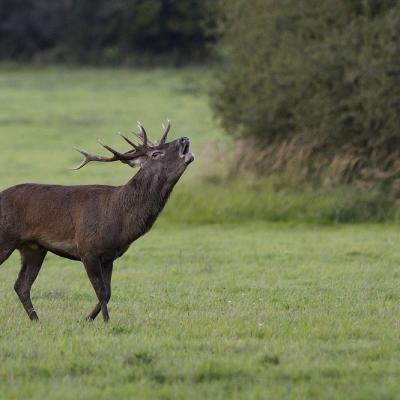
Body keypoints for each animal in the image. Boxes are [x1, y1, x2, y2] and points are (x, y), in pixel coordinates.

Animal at [0, 121, 194, 322]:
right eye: (156, 153)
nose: (184, 138)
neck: (120, 221)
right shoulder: (87, 249)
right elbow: (101, 291)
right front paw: (106, 322)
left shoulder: (109, 256)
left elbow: (108, 292)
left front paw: (87, 319)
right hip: (6, 238)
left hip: (34, 248)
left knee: (21, 285)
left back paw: (36, 320)